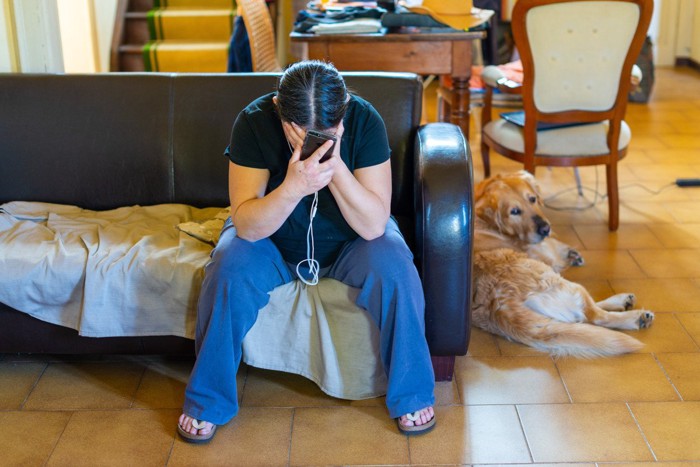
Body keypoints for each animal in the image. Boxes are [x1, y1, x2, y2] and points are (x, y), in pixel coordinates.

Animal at [474, 172, 652, 358]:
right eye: (514, 211)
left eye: (532, 199)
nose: (545, 229)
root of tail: (500, 306)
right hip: (568, 285)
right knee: (596, 315)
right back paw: (637, 316)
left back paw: (624, 301)